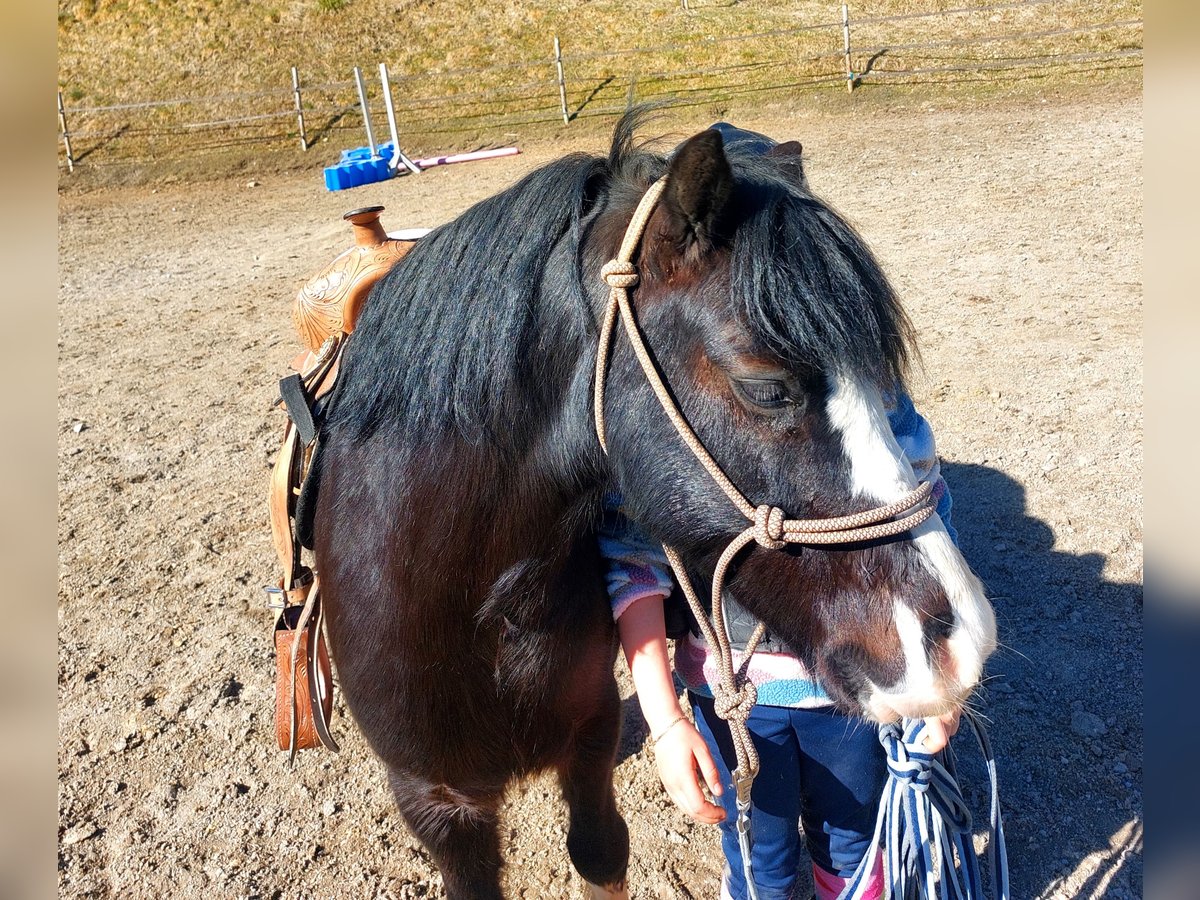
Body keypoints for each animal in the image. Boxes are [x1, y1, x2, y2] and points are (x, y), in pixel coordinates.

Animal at [309, 116, 993, 897]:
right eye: (767, 388)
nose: (958, 643)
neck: (469, 598)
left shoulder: (590, 732)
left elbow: (600, 851)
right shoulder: (436, 798)